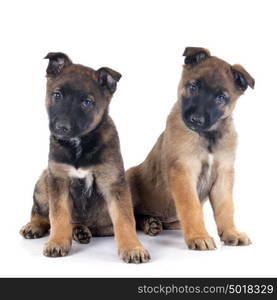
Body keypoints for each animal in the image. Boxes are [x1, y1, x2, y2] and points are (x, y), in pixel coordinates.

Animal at [19, 52, 150, 262]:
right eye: (57, 95)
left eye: (87, 102)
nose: (62, 127)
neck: (79, 144)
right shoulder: (58, 179)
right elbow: (58, 215)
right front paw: (57, 242)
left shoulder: (114, 182)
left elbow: (125, 219)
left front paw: (132, 247)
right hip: (43, 179)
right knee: (41, 213)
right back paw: (39, 226)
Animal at [126, 48, 253, 250]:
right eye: (193, 87)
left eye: (220, 98)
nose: (196, 120)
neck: (208, 137)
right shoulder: (184, 171)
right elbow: (191, 207)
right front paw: (198, 236)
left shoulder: (223, 176)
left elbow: (226, 207)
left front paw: (231, 232)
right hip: (129, 178)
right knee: (133, 215)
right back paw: (149, 223)